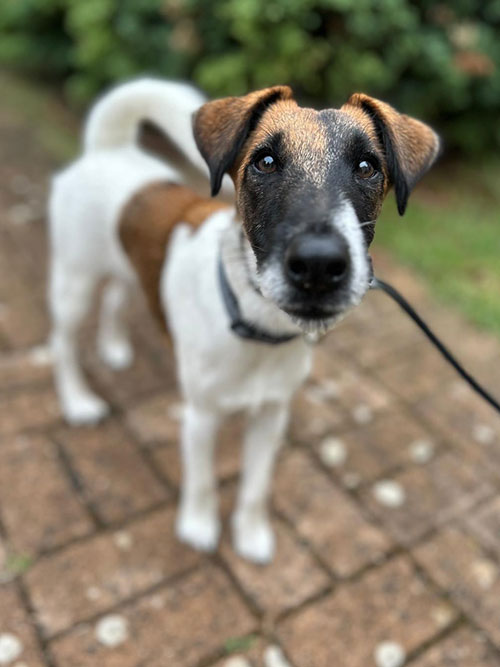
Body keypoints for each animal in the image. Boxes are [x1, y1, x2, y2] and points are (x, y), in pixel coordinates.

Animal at [48, 78, 440, 564]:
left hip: (126, 265)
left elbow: (255, 486)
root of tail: (109, 149)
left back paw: (114, 347)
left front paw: (251, 535)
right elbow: (201, 481)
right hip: (74, 283)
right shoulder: (201, 416)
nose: (318, 264)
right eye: (265, 162)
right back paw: (77, 401)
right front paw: (198, 528)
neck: (258, 331)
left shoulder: (271, 417)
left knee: (118, 296)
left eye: (367, 167)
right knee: (62, 342)